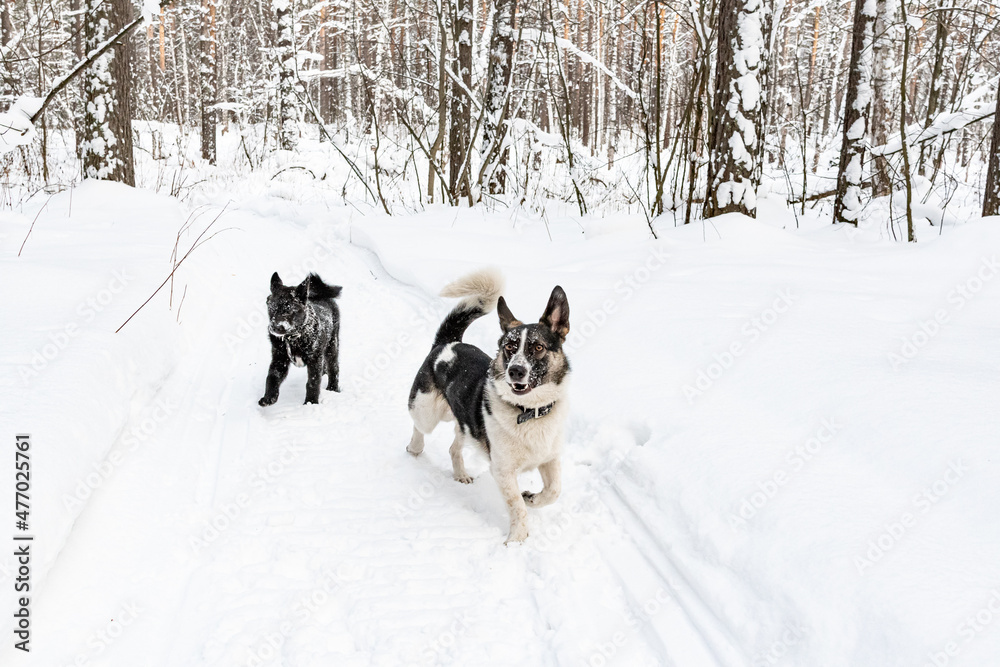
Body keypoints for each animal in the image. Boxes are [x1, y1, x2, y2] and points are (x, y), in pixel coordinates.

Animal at [260, 272, 342, 408]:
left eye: (289, 310)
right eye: (271, 309)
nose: (275, 327)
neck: (293, 338)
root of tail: (322, 294)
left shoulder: (314, 359)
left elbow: (313, 382)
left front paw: (311, 402)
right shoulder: (279, 359)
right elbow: (272, 377)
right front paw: (269, 398)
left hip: (332, 345)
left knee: (333, 368)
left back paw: (333, 388)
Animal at [404, 268, 568, 544]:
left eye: (538, 347)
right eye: (509, 347)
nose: (515, 371)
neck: (528, 412)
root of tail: (448, 343)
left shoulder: (549, 458)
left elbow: (554, 491)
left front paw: (532, 498)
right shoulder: (502, 470)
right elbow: (517, 507)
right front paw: (516, 541)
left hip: (465, 424)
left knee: (453, 448)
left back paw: (460, 474)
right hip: (428, 411)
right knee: (419, 428)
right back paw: (414, 450)